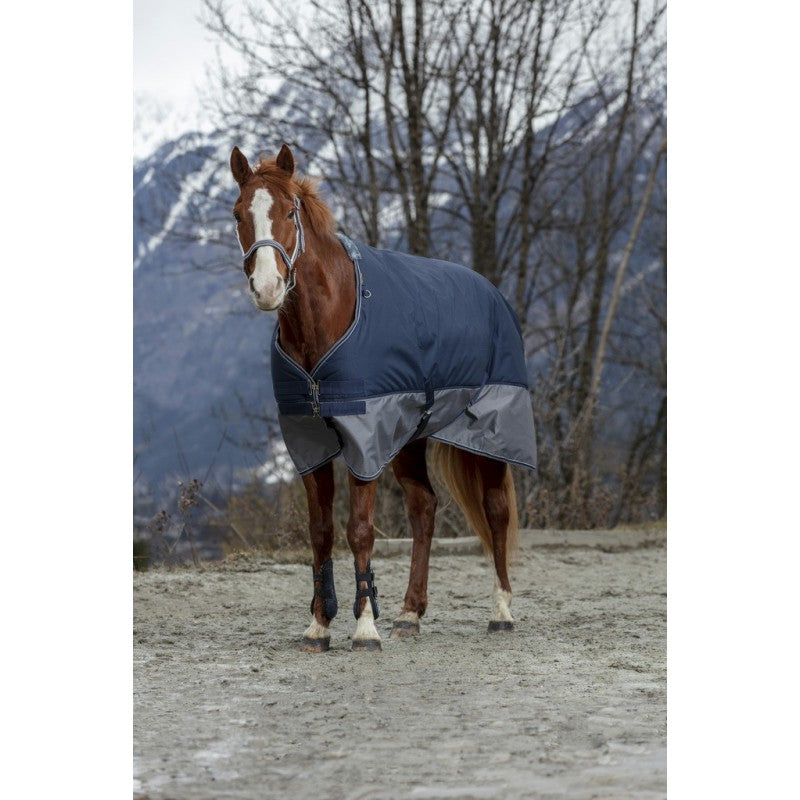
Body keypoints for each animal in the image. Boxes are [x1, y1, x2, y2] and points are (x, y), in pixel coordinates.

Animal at [229, 143, 537, 652]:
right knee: (424, 508)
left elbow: (359, 530)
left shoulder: (365, 437)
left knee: (496, 512)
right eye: (238, 215)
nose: (267, 288)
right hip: (410, 437)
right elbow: (320, 532)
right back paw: (410, 614)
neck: (327, 321)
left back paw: (502, 611)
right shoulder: (309, 441)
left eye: (290, 211)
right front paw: (320, 626)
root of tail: (492, 292)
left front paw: (364, 628)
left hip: (491, 434)